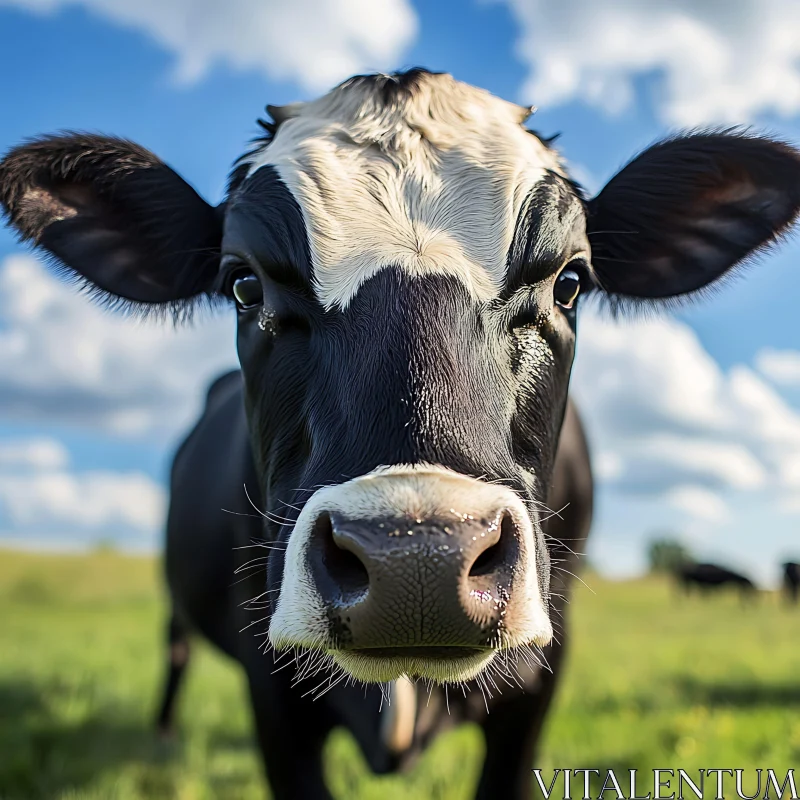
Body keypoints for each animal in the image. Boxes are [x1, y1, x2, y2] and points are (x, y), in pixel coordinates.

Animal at [1, 69, 800, 800]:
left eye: (569, 281)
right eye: (244, 284)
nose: (418, 561)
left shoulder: (541, 677)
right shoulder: (270, 688)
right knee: (173, 646)